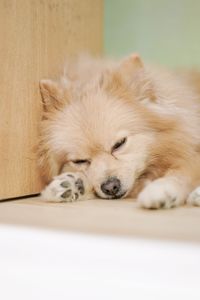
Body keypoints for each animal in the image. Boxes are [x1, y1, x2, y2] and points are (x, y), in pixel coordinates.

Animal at [38, 54, 200, 209]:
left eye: (119, 144)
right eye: (80, 161)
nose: (110, 187)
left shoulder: (191, 156)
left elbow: (181, 173)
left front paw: (160, 190)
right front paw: (74, 184)